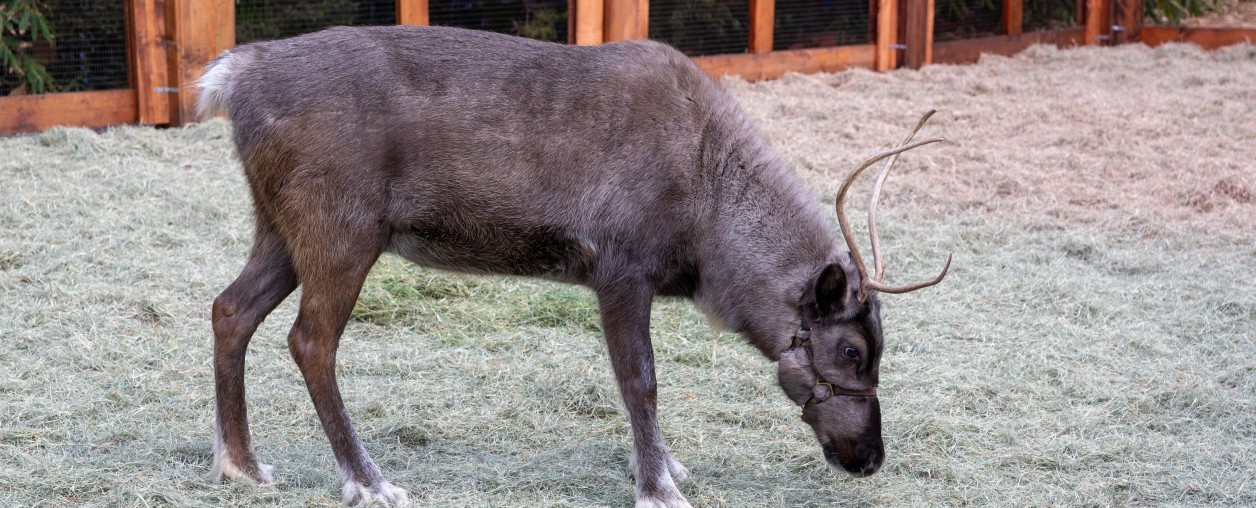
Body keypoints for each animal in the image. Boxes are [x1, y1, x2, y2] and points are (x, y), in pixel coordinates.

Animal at [195, 25, 950, 507]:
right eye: (850, 350)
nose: (871, 458)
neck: (709, 217)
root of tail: (232, 77)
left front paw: (668, 466)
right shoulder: (621, 268)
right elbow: (640, 380)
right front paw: (658, 486)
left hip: (280, 226)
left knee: (229, 309)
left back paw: (241, 465)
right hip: (342, 227)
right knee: (309, 339)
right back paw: (369, 481)